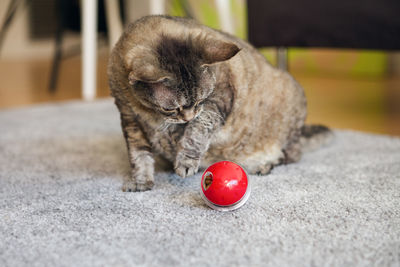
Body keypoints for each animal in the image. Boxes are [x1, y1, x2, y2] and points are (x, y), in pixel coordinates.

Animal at [107, 14, 332, 192]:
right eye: (171, 108)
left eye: (200, 100)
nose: (188, 116)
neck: (147, 111)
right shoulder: (129, 119)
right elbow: (138, 155)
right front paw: (141, 181)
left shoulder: (219, 99)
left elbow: (196, 133)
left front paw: (185, 160)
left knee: (289, 155)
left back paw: (263, 164)